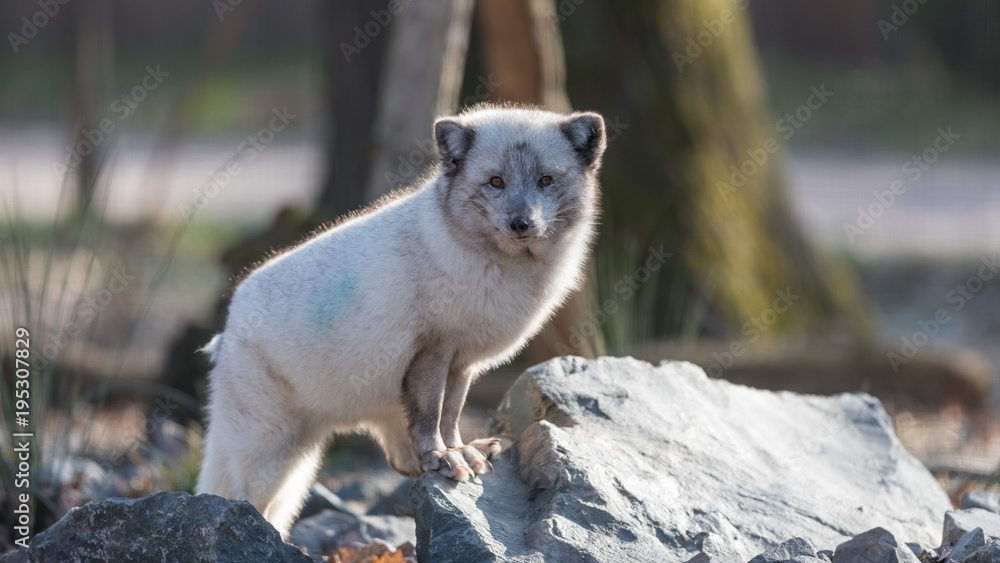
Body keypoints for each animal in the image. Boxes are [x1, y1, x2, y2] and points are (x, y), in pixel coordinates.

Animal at [196, 105, 606, 537]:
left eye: (546, 180)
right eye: (496, 181)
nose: (520, 223)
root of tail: (227, 328)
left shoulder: (462, 363)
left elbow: (450, 415)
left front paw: (458, 451)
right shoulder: (432, 352)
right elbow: (430, 417)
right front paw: (443, 457)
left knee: (398, 461)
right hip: (270, 451)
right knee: (244, 499)